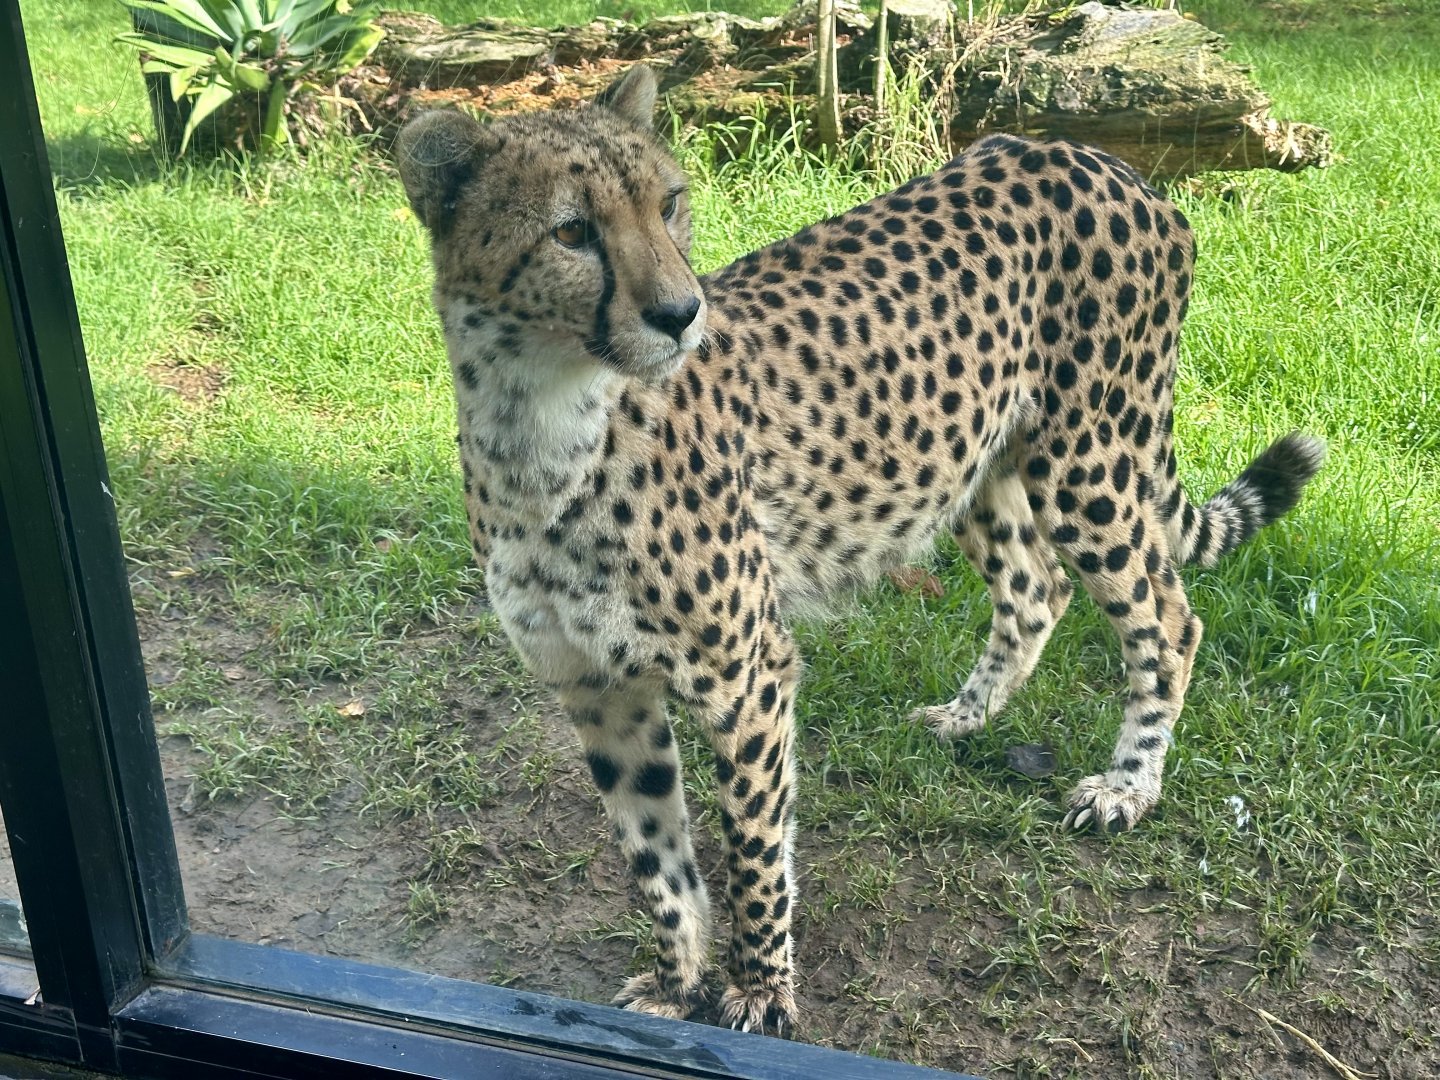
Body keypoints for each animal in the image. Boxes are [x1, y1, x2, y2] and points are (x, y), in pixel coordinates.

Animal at [395, 64, 1323, 1035]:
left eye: (669, 204)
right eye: (572, 231)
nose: (682, 313)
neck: (540, 424)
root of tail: (1100, 158)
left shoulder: (747, 672)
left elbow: (753, 846)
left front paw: (760, 990)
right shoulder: (593, 685)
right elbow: (655, 858)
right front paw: (677, 980)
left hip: (1092, 460)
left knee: (1168, 617)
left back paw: (1127, 787)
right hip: (967, 456)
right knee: (1037, 589)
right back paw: (966, 717)